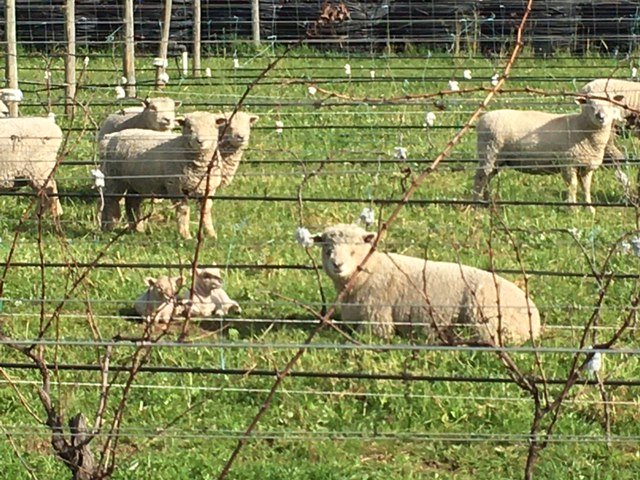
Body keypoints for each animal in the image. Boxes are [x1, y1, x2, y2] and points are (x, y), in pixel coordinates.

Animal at [313, 224, 541, 345]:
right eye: (327, 249)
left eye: (354, 249)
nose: (337, 265)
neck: (369, 272)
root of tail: (535, 320)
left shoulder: (378, 321)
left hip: (485, 320)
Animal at [472, 95, 624, 214]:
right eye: (590, 105)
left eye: (610, 103)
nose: (601, 117)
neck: (582, 128)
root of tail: (482, 120)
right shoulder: (568, 162)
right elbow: (573, 185)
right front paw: (573, 209)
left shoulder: (585, 166)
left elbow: (586, 188)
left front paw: (589, 209)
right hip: (489, 151)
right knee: (480, 177)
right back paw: (477, 204)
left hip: (498, 159)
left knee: (487, 178)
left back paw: (487, 202)